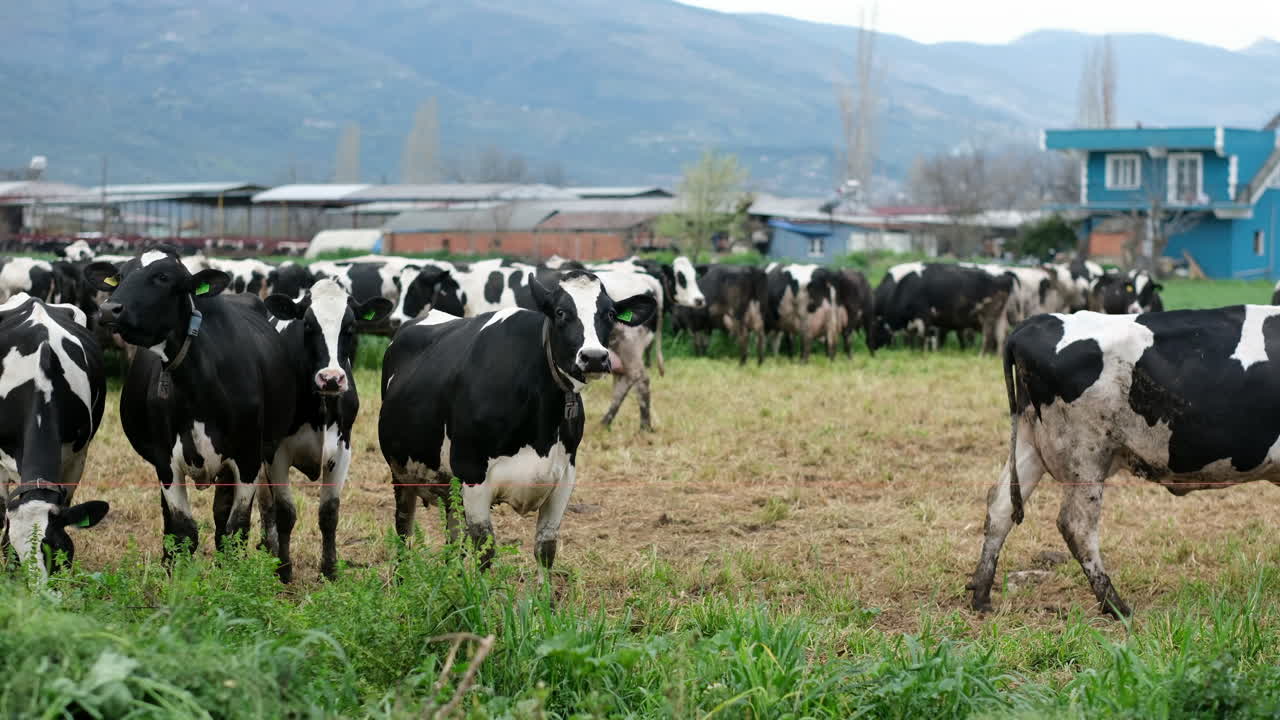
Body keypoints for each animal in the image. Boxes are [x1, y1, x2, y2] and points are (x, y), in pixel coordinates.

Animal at [85, 247, 296, 560]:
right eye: (120, 276)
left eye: (162, 277)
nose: (110, 309)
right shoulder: (165, 462)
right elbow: (182, 532)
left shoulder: (248, 459)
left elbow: (235, 530)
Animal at [256, 279, 392, 581]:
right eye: (308, 325)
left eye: (350, 327)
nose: (331, 378)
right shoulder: (276, 453)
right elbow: (285, 511)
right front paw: (284, 569)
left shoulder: (343, 448)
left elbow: (329, 512)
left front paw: (330, 569)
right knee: (264, 501)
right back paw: (269, 546)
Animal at [380, 270, 657, 568]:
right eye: (560, 312)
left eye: (610, 314)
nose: (594, 357)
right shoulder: (472, 473)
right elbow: (485, 551)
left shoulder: (563, 477)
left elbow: (546, 549)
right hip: (401, 473)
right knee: (404, 531)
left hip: (447, 484)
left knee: (453, 539)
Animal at [968, 306, 1280, 617]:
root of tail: (1035, 322)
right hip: (1086, 455)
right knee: (1076, 525)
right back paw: (1114, 604)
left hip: (1029, 442)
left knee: (999, 508)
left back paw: (981, 596)